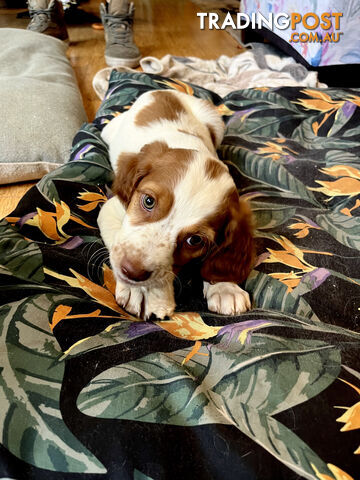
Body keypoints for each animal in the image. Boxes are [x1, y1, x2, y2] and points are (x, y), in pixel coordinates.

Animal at [97, 91, 255, 322]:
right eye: (149, 201)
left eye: (195, 240)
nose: (132, 272)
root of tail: (166, 90)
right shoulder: (111, 208)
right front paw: (142, 292)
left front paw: (225, 288)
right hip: (109, 130)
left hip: (216, 123)